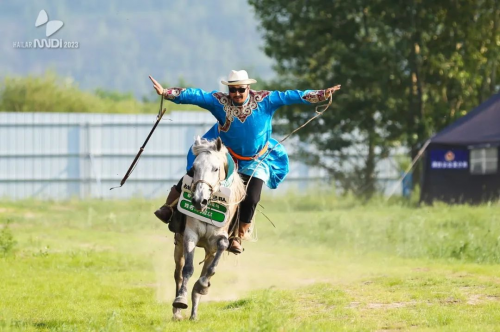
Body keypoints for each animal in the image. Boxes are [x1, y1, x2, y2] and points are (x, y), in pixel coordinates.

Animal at [172, 136, 246, 320]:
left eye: (215, 168)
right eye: (194, 168)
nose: (199, 200)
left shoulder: (216, 241)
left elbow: (217, 256)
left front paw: (203, 285)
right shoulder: (190, 235)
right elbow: (188, 269)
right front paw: (180, 300)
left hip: (208, 250)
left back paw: (194, 313)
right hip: (178, 244)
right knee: (178, 273)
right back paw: (177, 312)